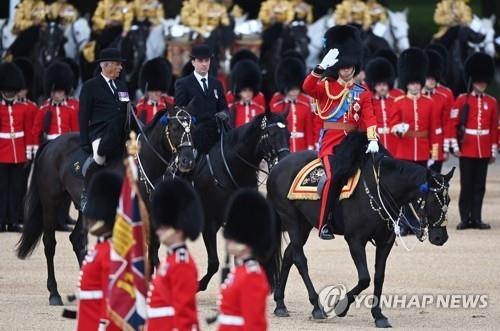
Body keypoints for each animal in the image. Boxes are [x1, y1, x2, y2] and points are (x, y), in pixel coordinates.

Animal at [15, 105, 195, 306]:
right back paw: (54, 293)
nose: (188, 161)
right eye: (175, 128)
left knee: (77, 240)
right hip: (50, 204)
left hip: (82, 209)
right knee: (50, 243)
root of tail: (51, 143)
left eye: (192, 129)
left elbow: (152, 250)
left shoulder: (150, 213)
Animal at [268, 133, 456, 330]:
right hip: (291, 220)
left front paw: (378, 315)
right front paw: (341, 307)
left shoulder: (385, 242)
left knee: (289, 255)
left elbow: (379, 276)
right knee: (299, 259)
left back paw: (280, 304)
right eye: (434, 201)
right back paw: (316, 306)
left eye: (449, 200)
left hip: (304, 224)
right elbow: (365, 278)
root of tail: (278, 166)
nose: (440, 237)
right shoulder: (355, 240)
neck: (381, 187)